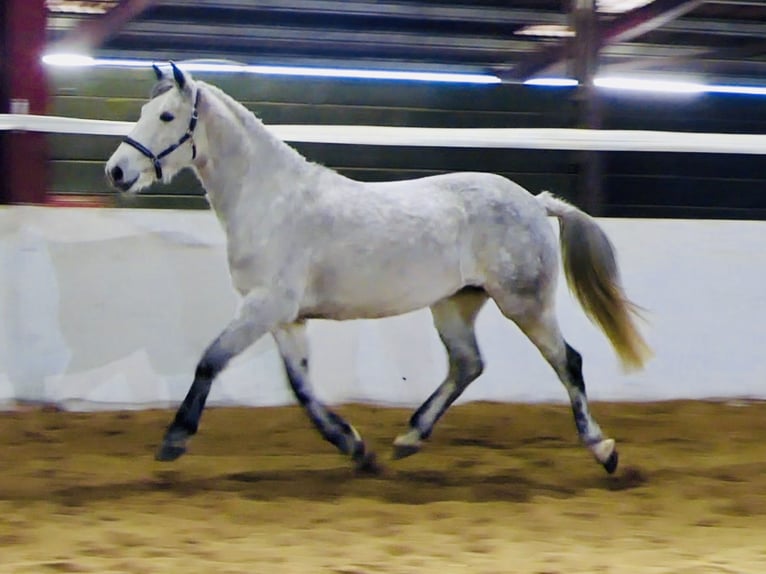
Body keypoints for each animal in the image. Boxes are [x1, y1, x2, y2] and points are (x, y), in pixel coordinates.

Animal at [105, 62, 651, 475]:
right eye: (143, 112)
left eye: (167, 115)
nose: (116, 171)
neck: (271, 199)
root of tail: (536, 203)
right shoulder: (284, 317)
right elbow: (301, 389)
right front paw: (355, 447)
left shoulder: (264, 306)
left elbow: (210, 361)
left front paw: (174, 441)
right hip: (454, 304)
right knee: (468, 364)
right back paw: (408, 437)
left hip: (525, 303)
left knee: (567, 362)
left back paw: (603, 450)